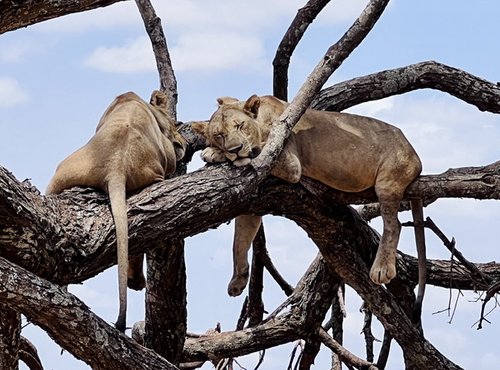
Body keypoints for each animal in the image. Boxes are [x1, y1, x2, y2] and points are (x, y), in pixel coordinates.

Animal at [190, 94, 426, 320]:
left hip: (388, 180)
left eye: (240, 126)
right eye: (220, 135)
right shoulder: (252, 203)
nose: (235, 149)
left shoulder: (288, 162)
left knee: (394, 224)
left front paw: (212, 153)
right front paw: (238, 281)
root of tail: (415, 154)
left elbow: (255, 150)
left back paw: (381, 269)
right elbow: (239, 241)